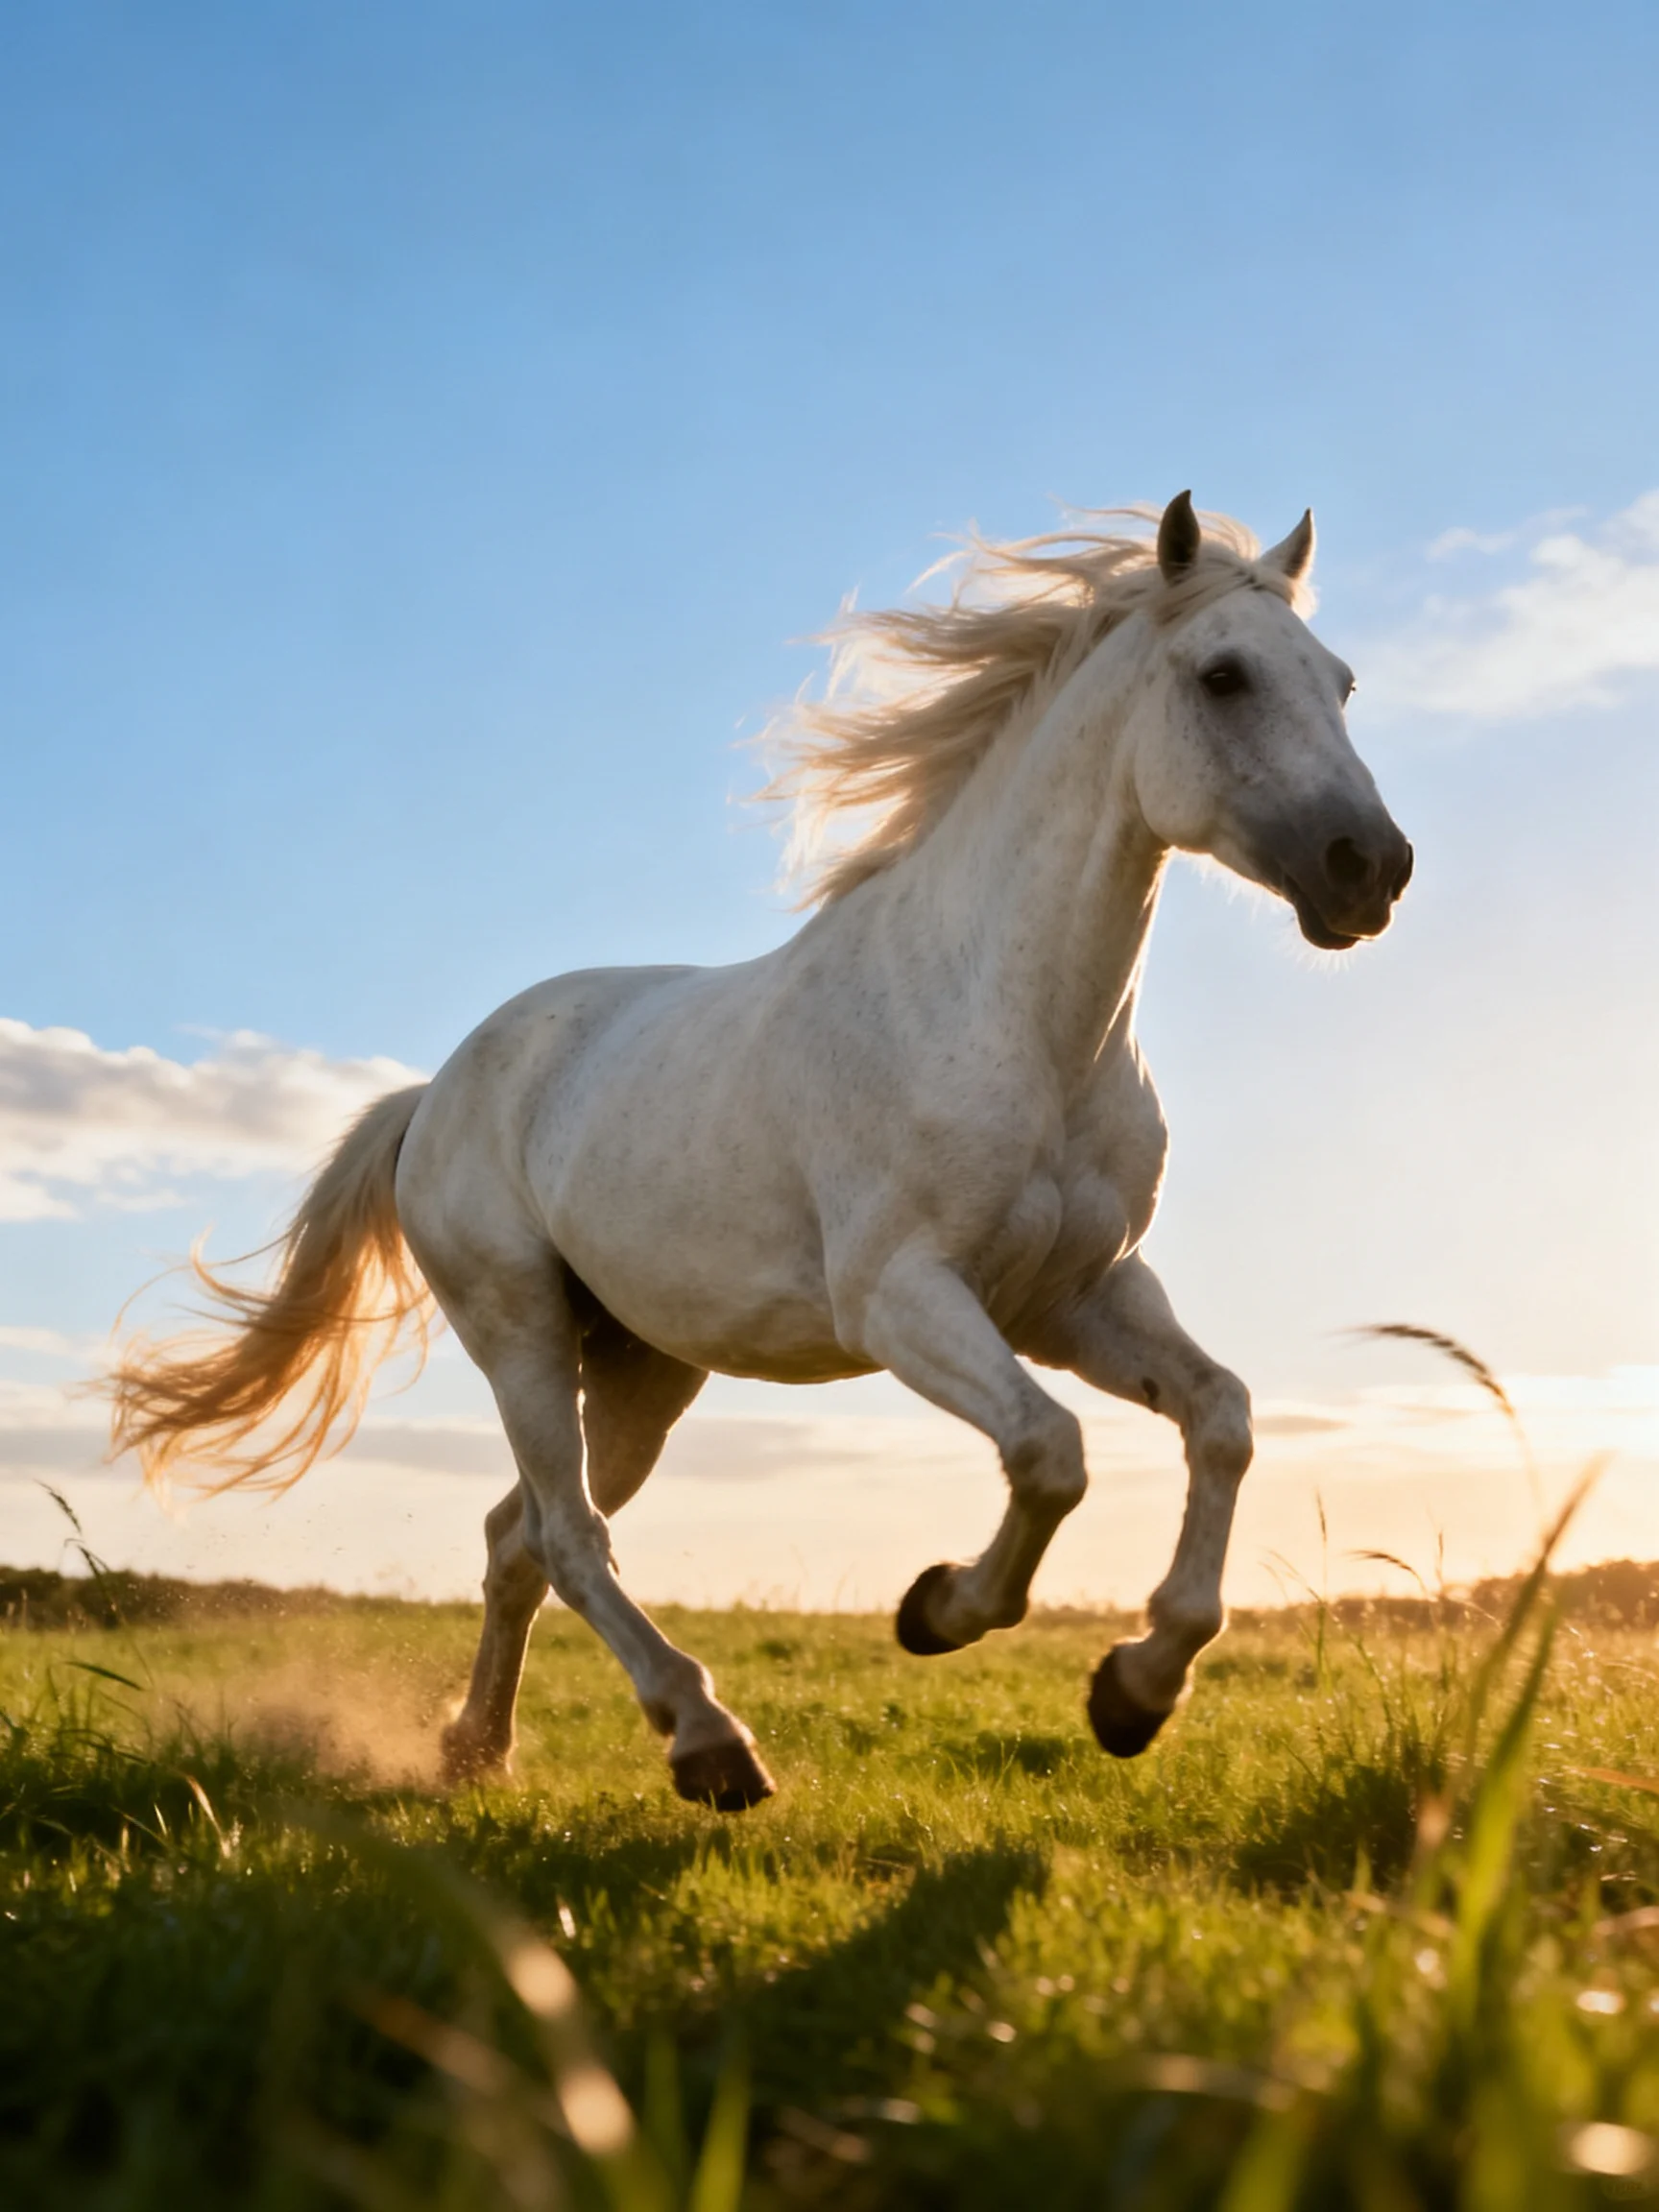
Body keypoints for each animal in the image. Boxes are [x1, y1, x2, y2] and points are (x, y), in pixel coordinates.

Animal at [107, 492, 1412, 1812]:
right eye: (1222, 675)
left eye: (1343, 683)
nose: (1372, 869)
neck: (1007, 1015)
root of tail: (436, 1093)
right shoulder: (900, 1296)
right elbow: (1051, 1453)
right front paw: (939, 1611)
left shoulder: (1077, 1297)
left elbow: (1221, 1418)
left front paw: (1136, 1690)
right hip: (518, 1328)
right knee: (569, 1537)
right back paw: (707, 1742)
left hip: (642, 1371)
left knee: (516, 1538)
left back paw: (481, 1749)